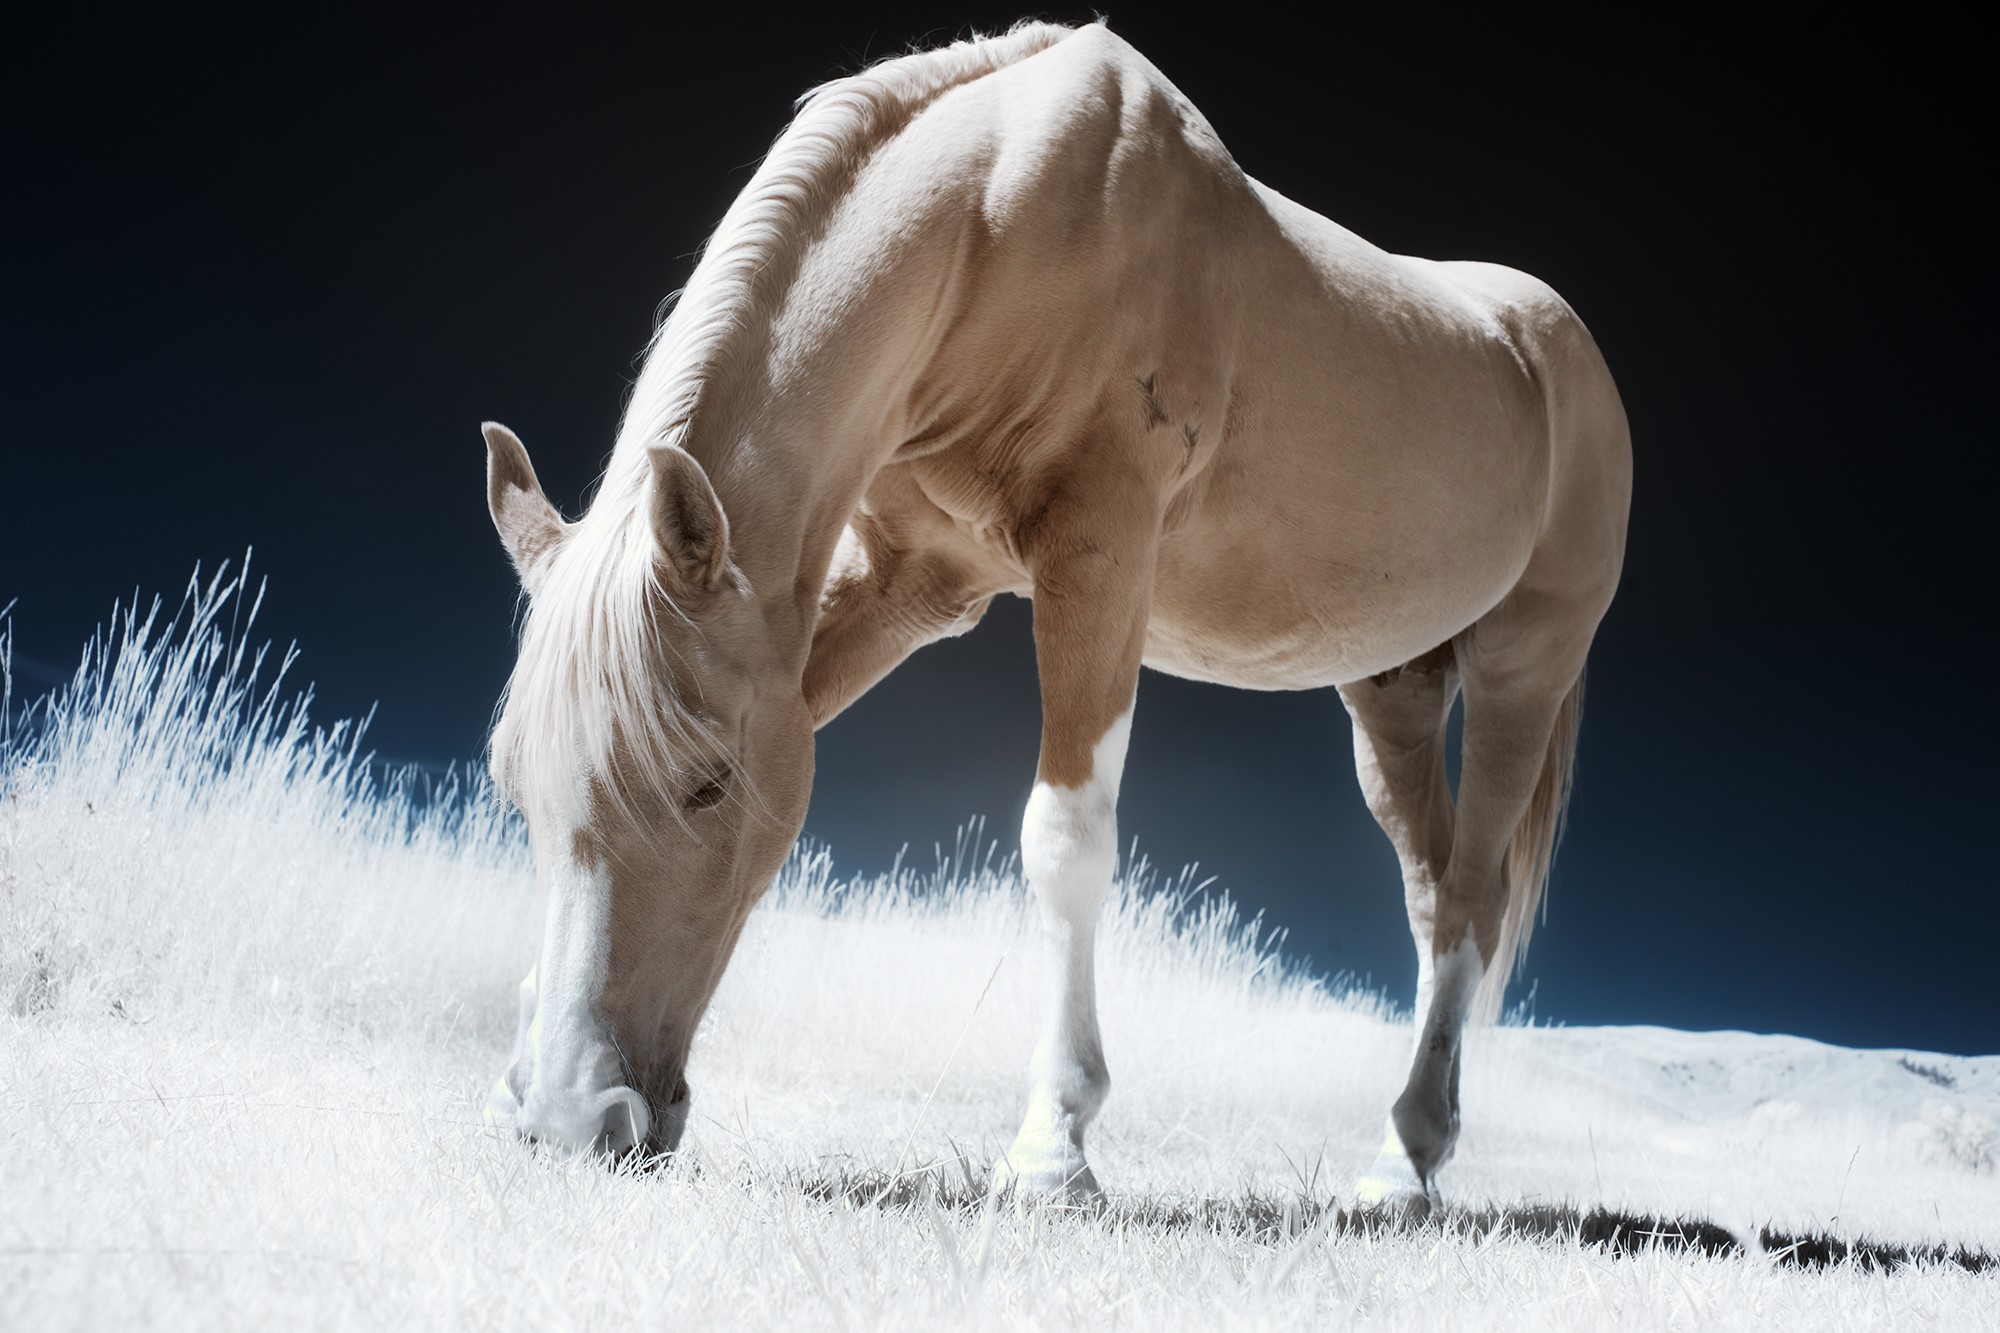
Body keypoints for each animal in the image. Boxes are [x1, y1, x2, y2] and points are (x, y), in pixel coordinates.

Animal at [478, 20, 1631, 1216]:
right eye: (514, 781)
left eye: (705, 782)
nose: (569, 1117)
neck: (999, 217)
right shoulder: (896, 592)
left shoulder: (1099, 565)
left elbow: (1064, 844)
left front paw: (1051, 1151)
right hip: (1391, 691)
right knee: (1430, 897)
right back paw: (1402, 1156)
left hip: (1525, 667)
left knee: (1471, 901)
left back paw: (1407, 1166)